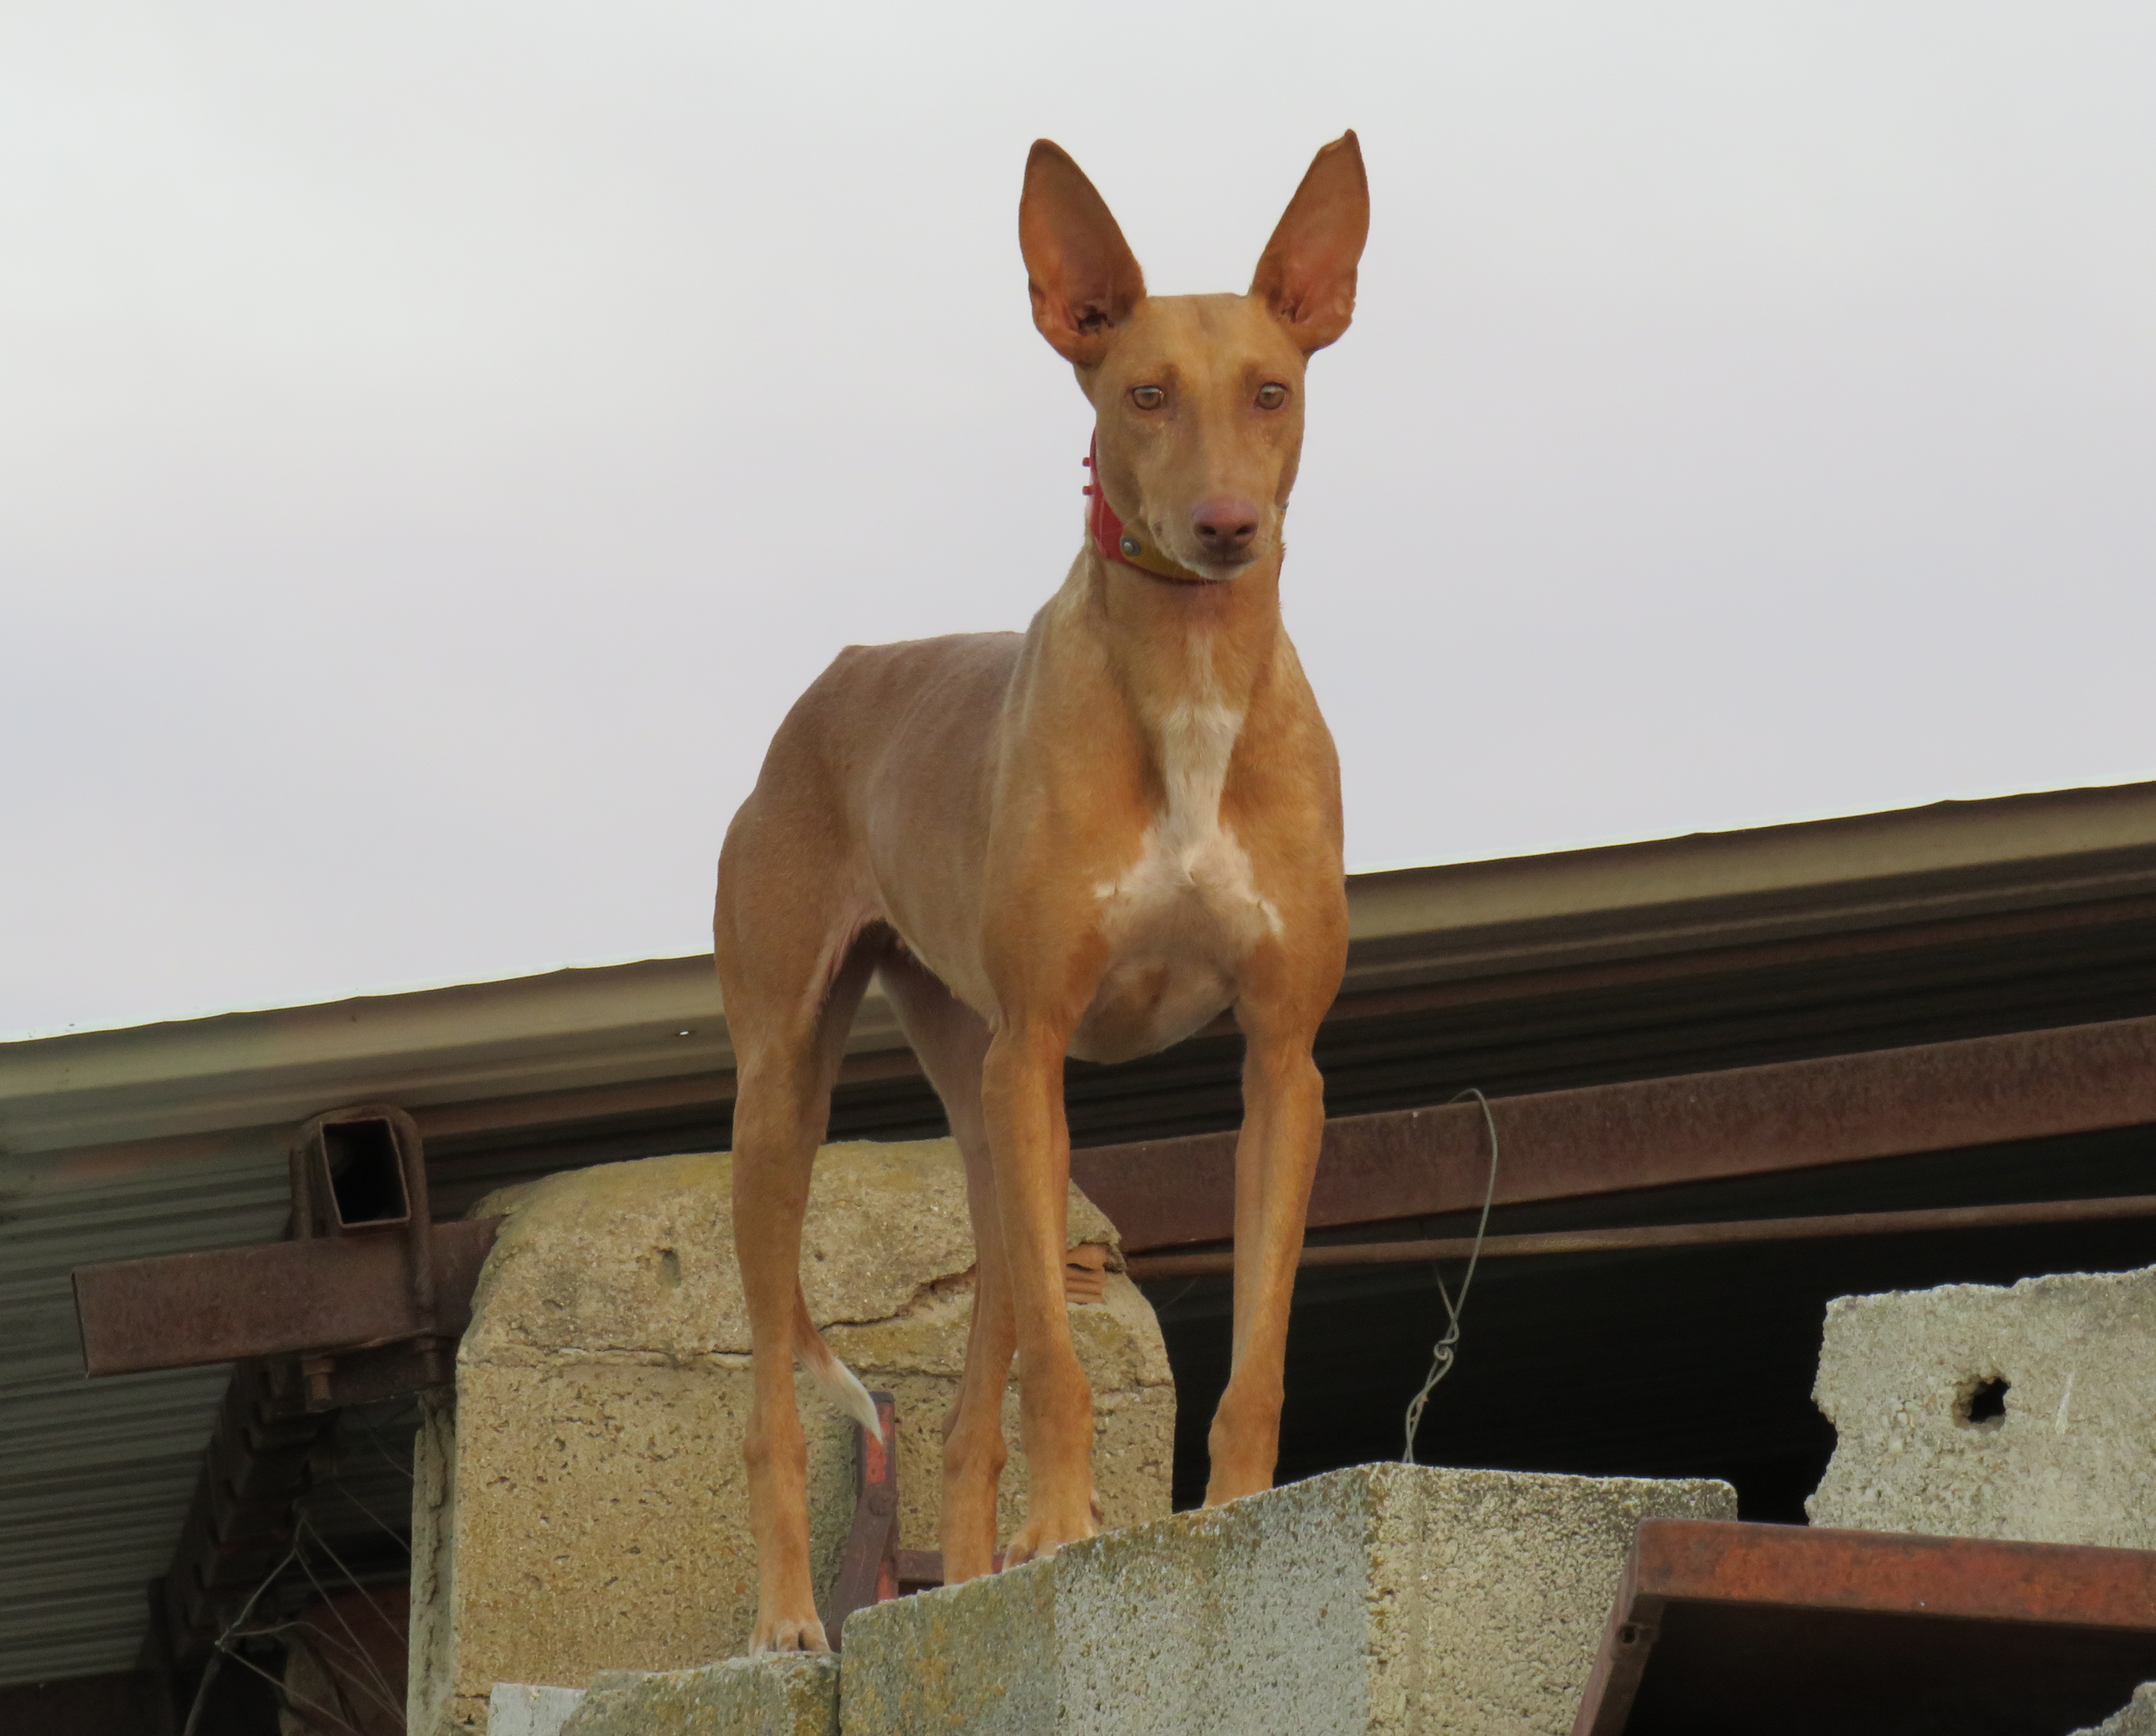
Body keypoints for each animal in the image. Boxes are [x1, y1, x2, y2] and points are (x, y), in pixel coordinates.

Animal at [715, 132, 1366, 1652]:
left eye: (1271, 388)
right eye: (1142, 392)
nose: (1226, 526)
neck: (1191, 683)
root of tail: (839, 673)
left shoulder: (1282, 1064)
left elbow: (1254, 1352)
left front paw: (1230, 1513)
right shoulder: (1042, 1047)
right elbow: (1062, 1376)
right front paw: (1070, 1532)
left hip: (986, 1119)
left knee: (967, 1409)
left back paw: (965, 1575)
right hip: (800, 1097)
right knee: (776, 1397)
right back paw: (793, 1618)